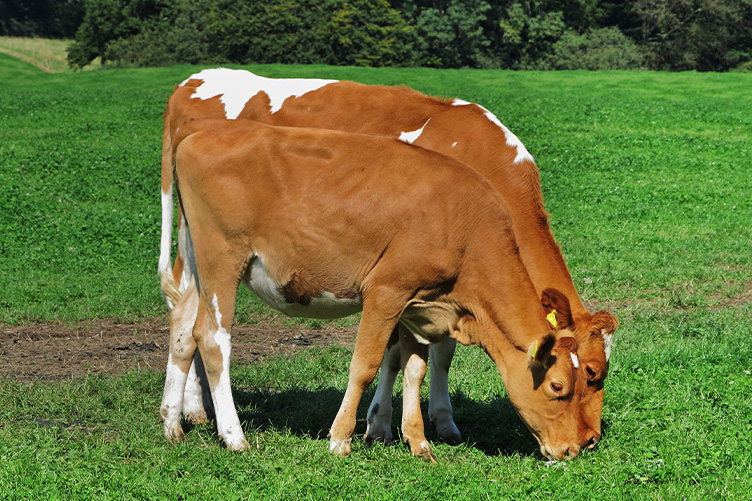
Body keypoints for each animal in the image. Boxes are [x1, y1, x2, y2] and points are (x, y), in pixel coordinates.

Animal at [159, 68, 618, 450]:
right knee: (213, 336)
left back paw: (178, 419)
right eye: (589, 374)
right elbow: (395, 357)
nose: (590, 440)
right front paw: (382, 426)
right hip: (221, 256)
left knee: (183, 322)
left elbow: (421, 358)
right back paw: (230, 433)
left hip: (194, 253)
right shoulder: (392, 288)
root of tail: (193, 83)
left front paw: (422, 426)